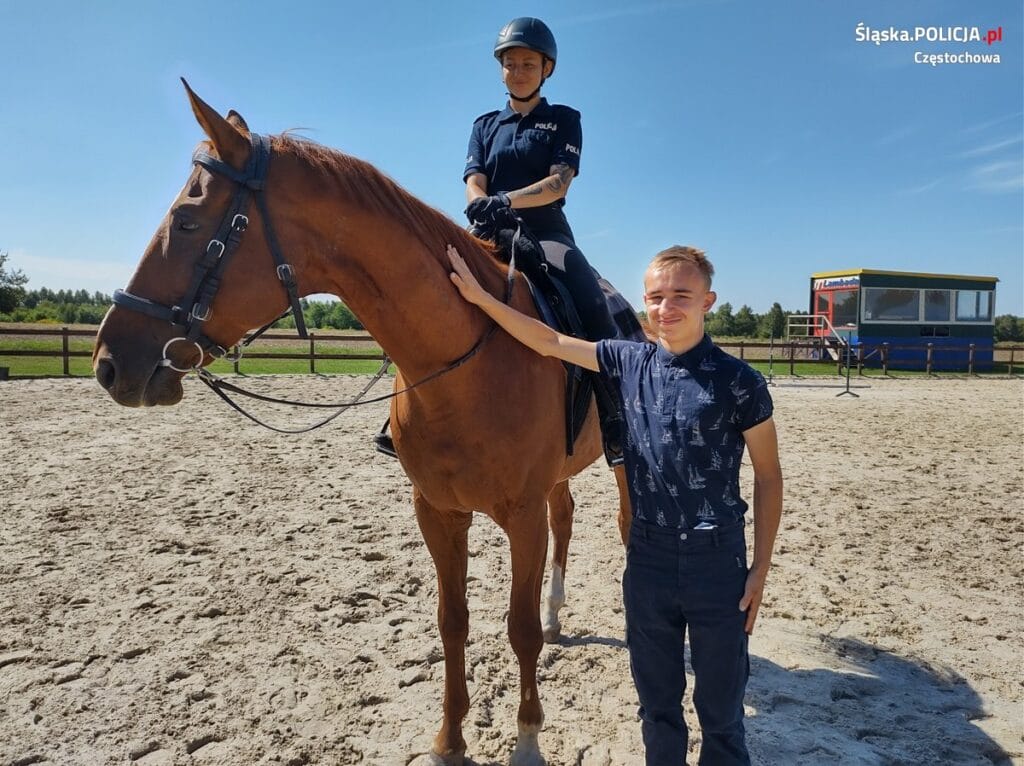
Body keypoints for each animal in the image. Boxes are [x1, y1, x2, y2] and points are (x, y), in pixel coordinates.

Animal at [92, 83, 626, 766]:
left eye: (187, 223)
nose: (109, 362)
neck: (466, 356)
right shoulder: (437, 511)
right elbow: (453, 622)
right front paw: (448, 739)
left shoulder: (521, 516)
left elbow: (520, 629)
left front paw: (528, 739)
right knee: (567, 517)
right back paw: (561, 613)